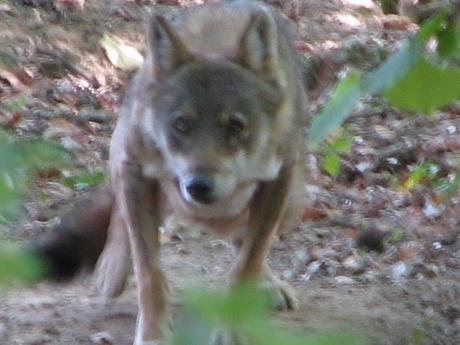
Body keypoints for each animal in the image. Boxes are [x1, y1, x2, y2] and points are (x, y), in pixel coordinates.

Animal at [30, 1, 308, 342]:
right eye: (181, 124)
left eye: (235, 126)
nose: (198, 186)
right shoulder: (135, 168)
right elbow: (149, 272)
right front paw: (152, 335)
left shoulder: (280, 178)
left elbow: (249, 262)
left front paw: (231, 330)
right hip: (127, 162)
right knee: (119, 214)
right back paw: (111, 269)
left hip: (295, 201)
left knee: (247, 240)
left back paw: (268, 284)